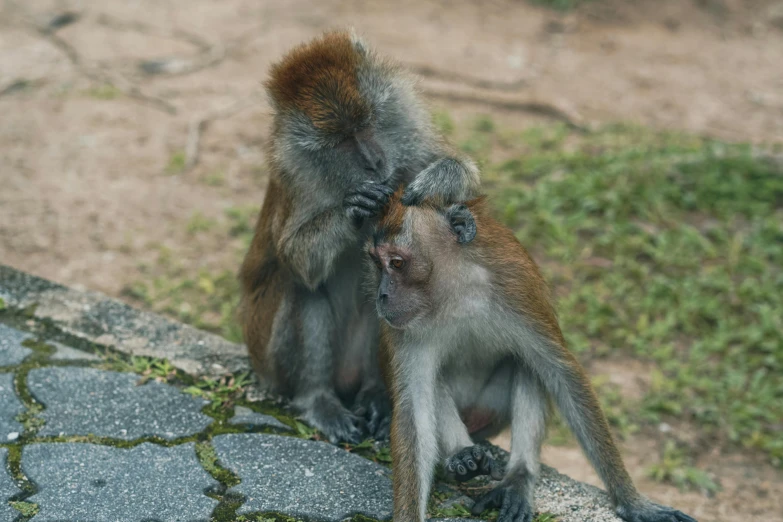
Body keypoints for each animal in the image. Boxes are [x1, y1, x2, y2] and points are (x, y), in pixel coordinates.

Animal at [242, 29, 480, 442]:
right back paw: (318, 400)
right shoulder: (293, 177)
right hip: (268, 359)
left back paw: (377, 396)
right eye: (341, 140)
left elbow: (459, 171)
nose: (374, 162)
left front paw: (448, 195)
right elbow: (296, 260)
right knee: (301, 288)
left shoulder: (408, 139)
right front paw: (352, 211)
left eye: (369, 122)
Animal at [368, 190, 700, 520]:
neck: (453, 291)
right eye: (376, 263)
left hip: (489, 411)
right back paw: (463, 457)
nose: (382, 295)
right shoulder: (404, 330)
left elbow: (562, 373)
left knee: (526, 363)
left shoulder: (516, 288)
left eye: (397, 262)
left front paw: (633, 502)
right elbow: (413, 408)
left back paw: (517, 478)